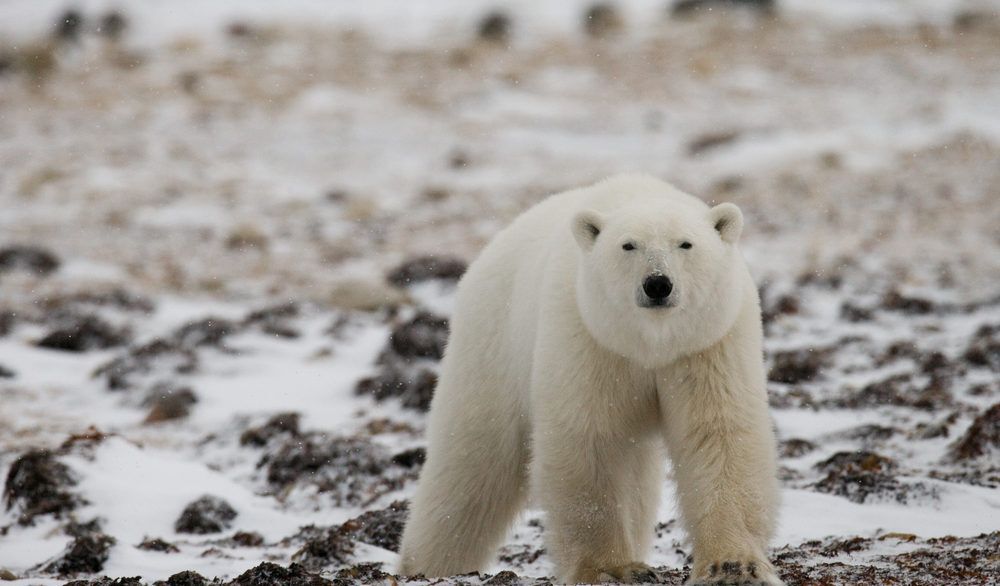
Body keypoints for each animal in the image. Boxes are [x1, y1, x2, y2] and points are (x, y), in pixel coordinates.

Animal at [398, 174, 782, 585]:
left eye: (685, 243)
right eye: (628, 245)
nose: (657, 284)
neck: (650, 343)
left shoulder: (708, 344)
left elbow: (718, 435)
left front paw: (733, 567)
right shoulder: (588, 336)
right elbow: (590, 439)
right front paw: (610, 568)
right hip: (492, 344)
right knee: (472, 464)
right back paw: (427, 566)